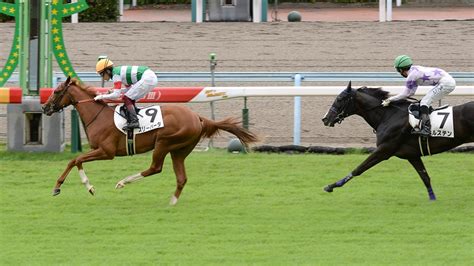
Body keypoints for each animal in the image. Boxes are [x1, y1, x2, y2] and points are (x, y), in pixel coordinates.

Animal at [41, 77, 260, 206]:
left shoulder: (106, 151)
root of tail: (198, 117)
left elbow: (75, 160)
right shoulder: (99, 150)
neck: (99, 116)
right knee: (181, 178)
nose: (45, 108)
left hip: (164, 143)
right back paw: (172, 202)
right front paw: (84, 187)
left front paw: (64, 187)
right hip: (179, 150)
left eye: (57, 91)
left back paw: (123, 182)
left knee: (155, 168)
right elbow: (76, 161)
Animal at [320, 81, 472, 200]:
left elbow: (359, 169)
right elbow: (425, 177)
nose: (325, 119)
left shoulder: (384, 150)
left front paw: (332, 185)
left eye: (340, 99)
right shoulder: (412, 155)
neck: (388, 116)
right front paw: (432, 198)